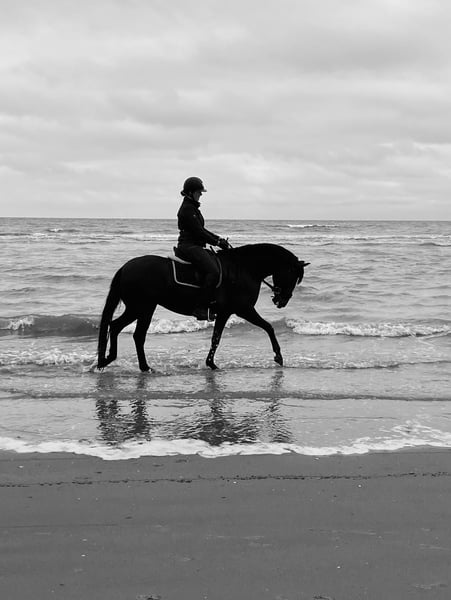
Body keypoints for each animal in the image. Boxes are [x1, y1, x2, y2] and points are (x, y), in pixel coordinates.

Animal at [97, 243, 309, 372]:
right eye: (293, 276)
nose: (282, 301)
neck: (244, 269)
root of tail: (125, 268)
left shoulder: (225, 313)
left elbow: (216, 338)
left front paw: (211, 364)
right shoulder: (243, 310)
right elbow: (268, 327)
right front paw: (278, 356)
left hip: (139, 308)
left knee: (118, 327)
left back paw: (108, 360)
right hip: (142, 308)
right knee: (134, 334)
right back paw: (140, 366)